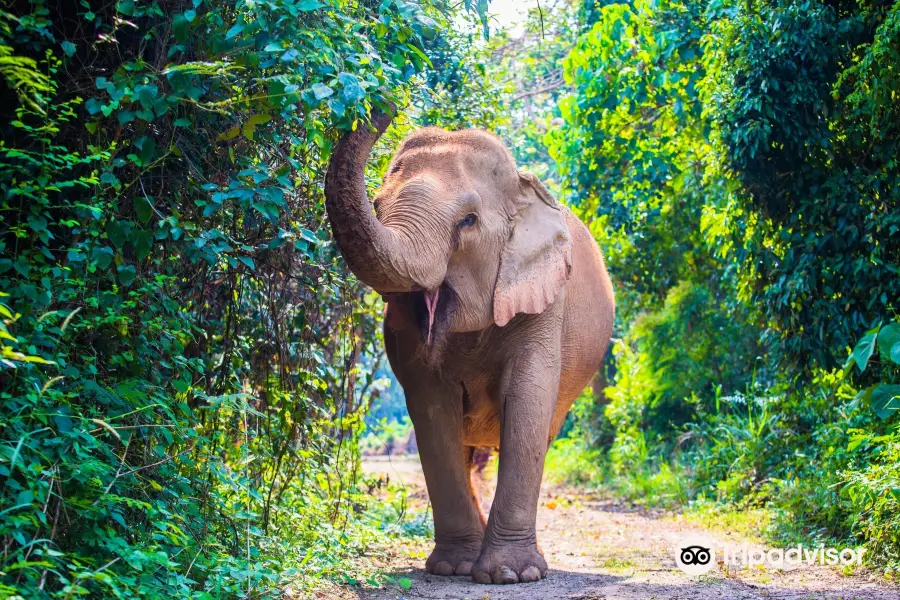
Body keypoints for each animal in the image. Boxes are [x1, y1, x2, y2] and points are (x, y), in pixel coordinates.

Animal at [326, 110, 616, 584]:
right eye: (379, 207)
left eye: (468, 221)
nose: (384, 103)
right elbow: (432, 410)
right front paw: (452, 568)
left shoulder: (545, 301)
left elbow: (527, 403)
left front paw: (512, 575)